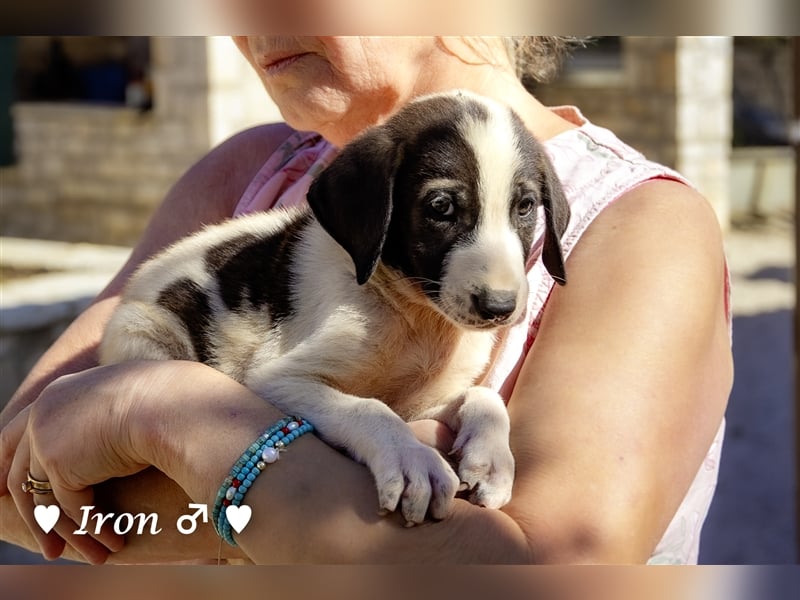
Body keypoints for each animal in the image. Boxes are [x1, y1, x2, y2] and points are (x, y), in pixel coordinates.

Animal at [100, 89, 572, 524]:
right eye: (440, 207)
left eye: (525, 207)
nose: (500, 307)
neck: (412, 315)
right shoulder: (277, 377)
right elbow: (367, 408)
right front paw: (411, 459)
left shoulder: (422, 401)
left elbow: (484, 397)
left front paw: (491, 459)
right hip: (143, 331)